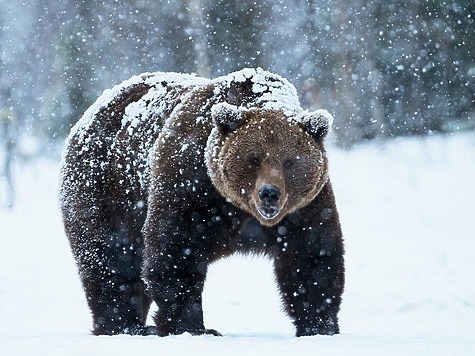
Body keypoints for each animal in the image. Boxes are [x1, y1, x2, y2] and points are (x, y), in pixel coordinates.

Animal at [59, 68, 344, 338]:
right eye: (254, 159)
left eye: (289, 161)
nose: (269, 193)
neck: (239, 209)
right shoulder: (189, 185)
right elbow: (176, 253)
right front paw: (192, 327)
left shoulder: (305, 208)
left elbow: (312, 257)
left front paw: (319, 326)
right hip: (106, 191)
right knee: (111, 260)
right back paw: (124, 325)